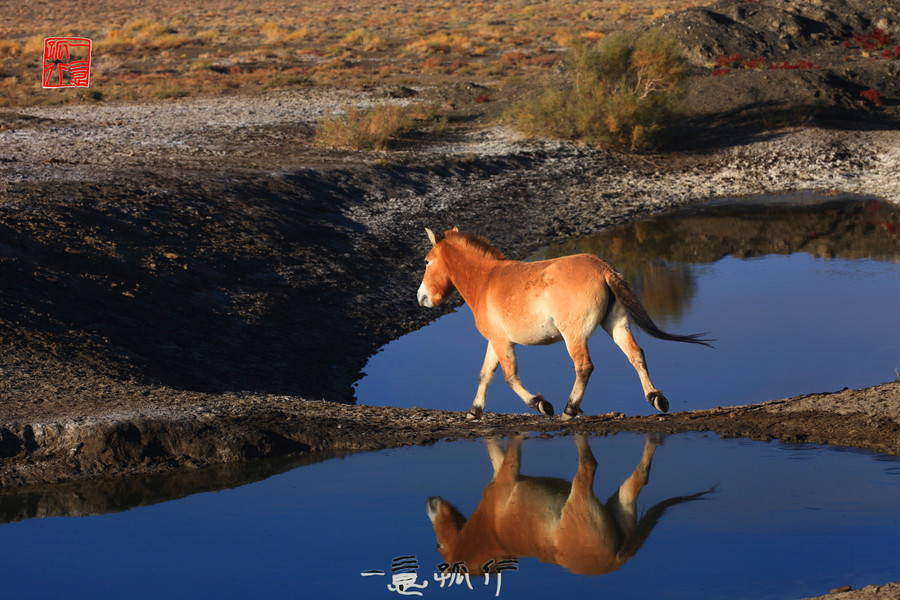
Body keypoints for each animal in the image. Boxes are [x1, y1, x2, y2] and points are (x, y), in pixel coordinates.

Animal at [414, 227, 712, 420]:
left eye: (427, 261)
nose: (421, 297)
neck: (486, 280)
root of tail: (602, 268)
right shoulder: (496, 341)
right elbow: (485, 374)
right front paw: (473, 412)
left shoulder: (502, 343)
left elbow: (510, 378)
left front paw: (540, 404)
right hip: (616, 325)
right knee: (636, 354)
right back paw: (655, 398)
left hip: (574, 336)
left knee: (584, 367)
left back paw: (570, 409)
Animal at [428, 436, 716, 576]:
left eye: (439, 545)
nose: (430, 502)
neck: (492, 530)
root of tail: (612, 561)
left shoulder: (508, 476)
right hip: (622, 508)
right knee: (639, 480)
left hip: (580, 495)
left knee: (589, 465)